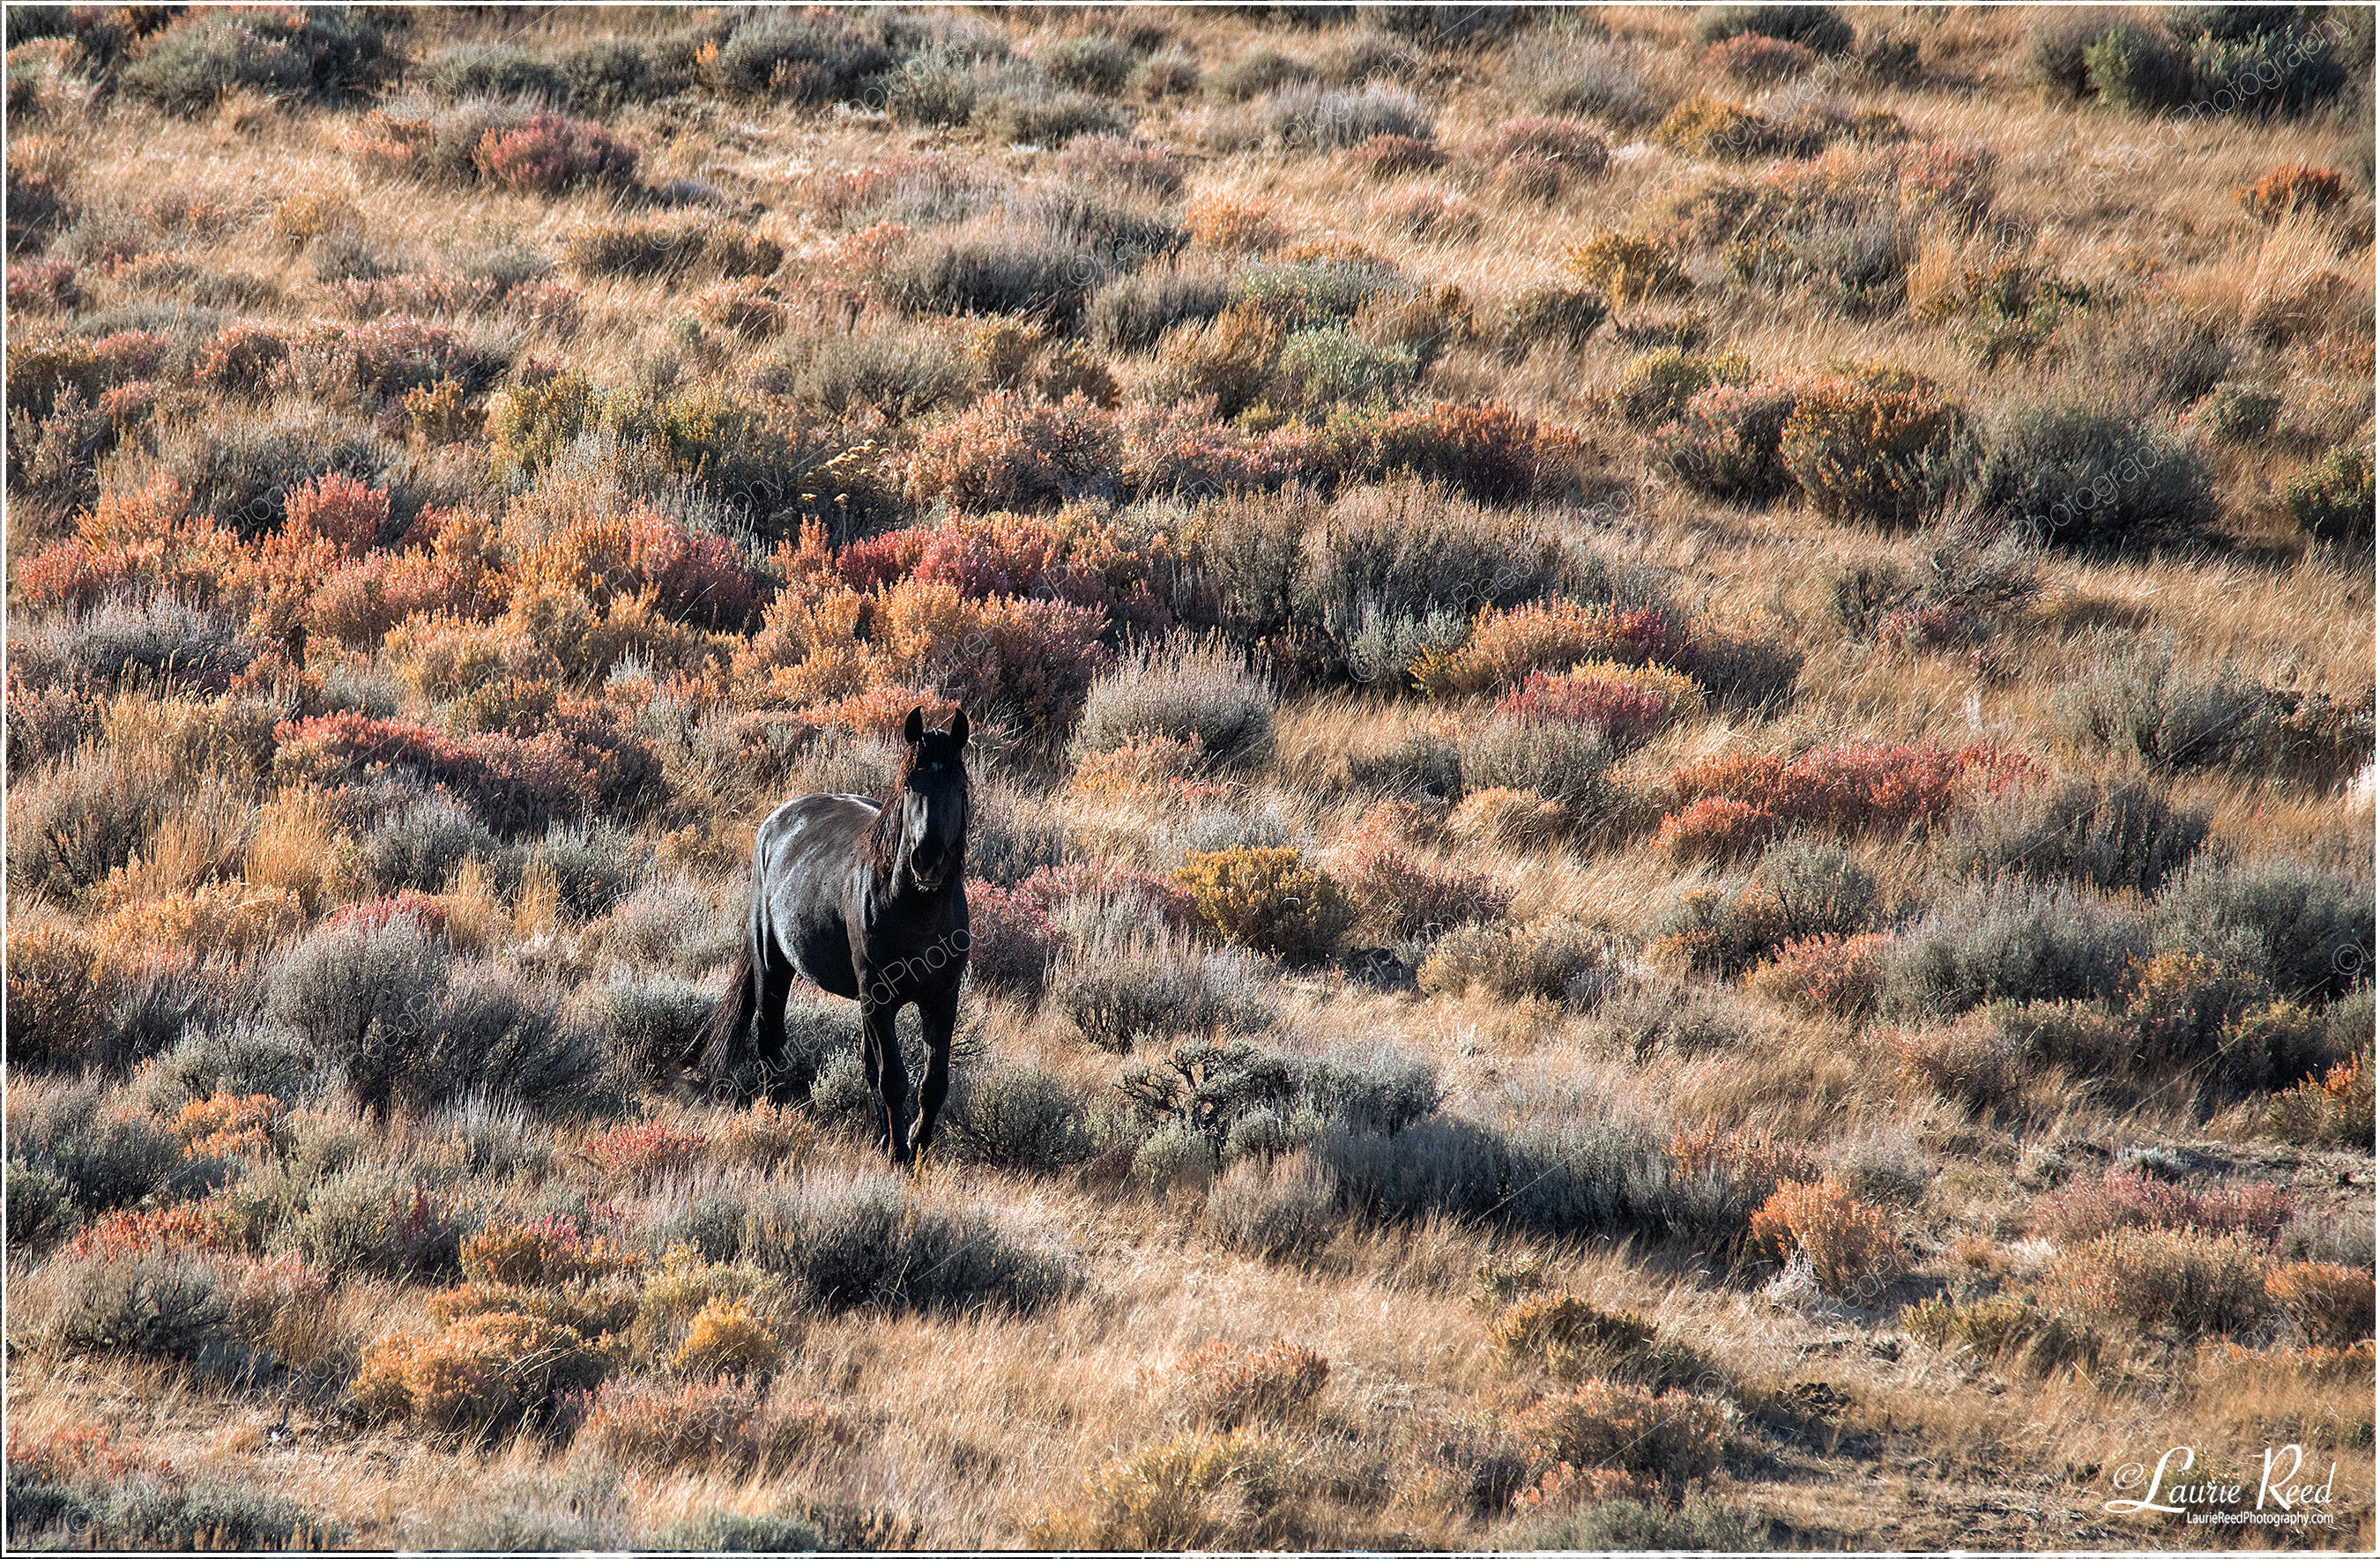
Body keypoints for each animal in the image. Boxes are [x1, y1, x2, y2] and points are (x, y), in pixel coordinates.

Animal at [694, 706, 971, 1166]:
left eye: (959, 783)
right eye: (909, 784)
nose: (928, 859)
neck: (916, 912)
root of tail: (777, 820)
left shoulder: (941, 998)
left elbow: (931, 1084)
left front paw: (914, 1148)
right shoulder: (878, 995)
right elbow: (893, 1079)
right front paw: (900, 1155)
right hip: (773, 966)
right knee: (770, 1043)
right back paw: (774, 1120)